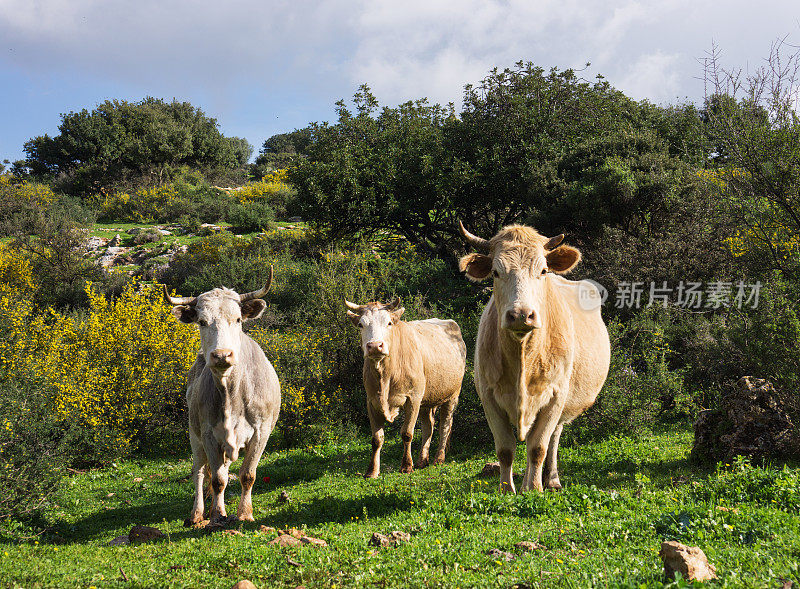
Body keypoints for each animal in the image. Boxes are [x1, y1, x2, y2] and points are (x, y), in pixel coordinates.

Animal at [162, 266, 282, 524]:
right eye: (202, 321)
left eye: (237, 319)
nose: (221, 355)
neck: (232, 394)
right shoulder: (209, 434)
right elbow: (217, 480)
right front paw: (217, 516)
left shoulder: (261, 432)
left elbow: (247, 475)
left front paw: (244, 513)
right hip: (194, 434)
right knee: (199, 472)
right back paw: (197, 514)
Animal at [346, 298, 468, 478]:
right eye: (361, 324)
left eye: (389, 323)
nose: (375, 346)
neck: (385, 376)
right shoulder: (371, 402)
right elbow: (376, 438)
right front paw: (372, 471)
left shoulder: (413, 399)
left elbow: (407, 433)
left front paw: (406, 466)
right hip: (426, 399)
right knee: (428, 427)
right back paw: (422, 460)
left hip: (452, 394)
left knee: (445, 425)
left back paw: (439, 458)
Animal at [460, 223, 608, 494]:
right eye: (495, 272)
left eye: (543, 270)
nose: (521, 314)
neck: (523, 357)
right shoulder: (488, 396)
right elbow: (505, 450)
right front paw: (507, 490)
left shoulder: (556, 395)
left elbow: (538, 447)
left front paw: (535, 489)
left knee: (552, 438)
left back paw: (549, 479)